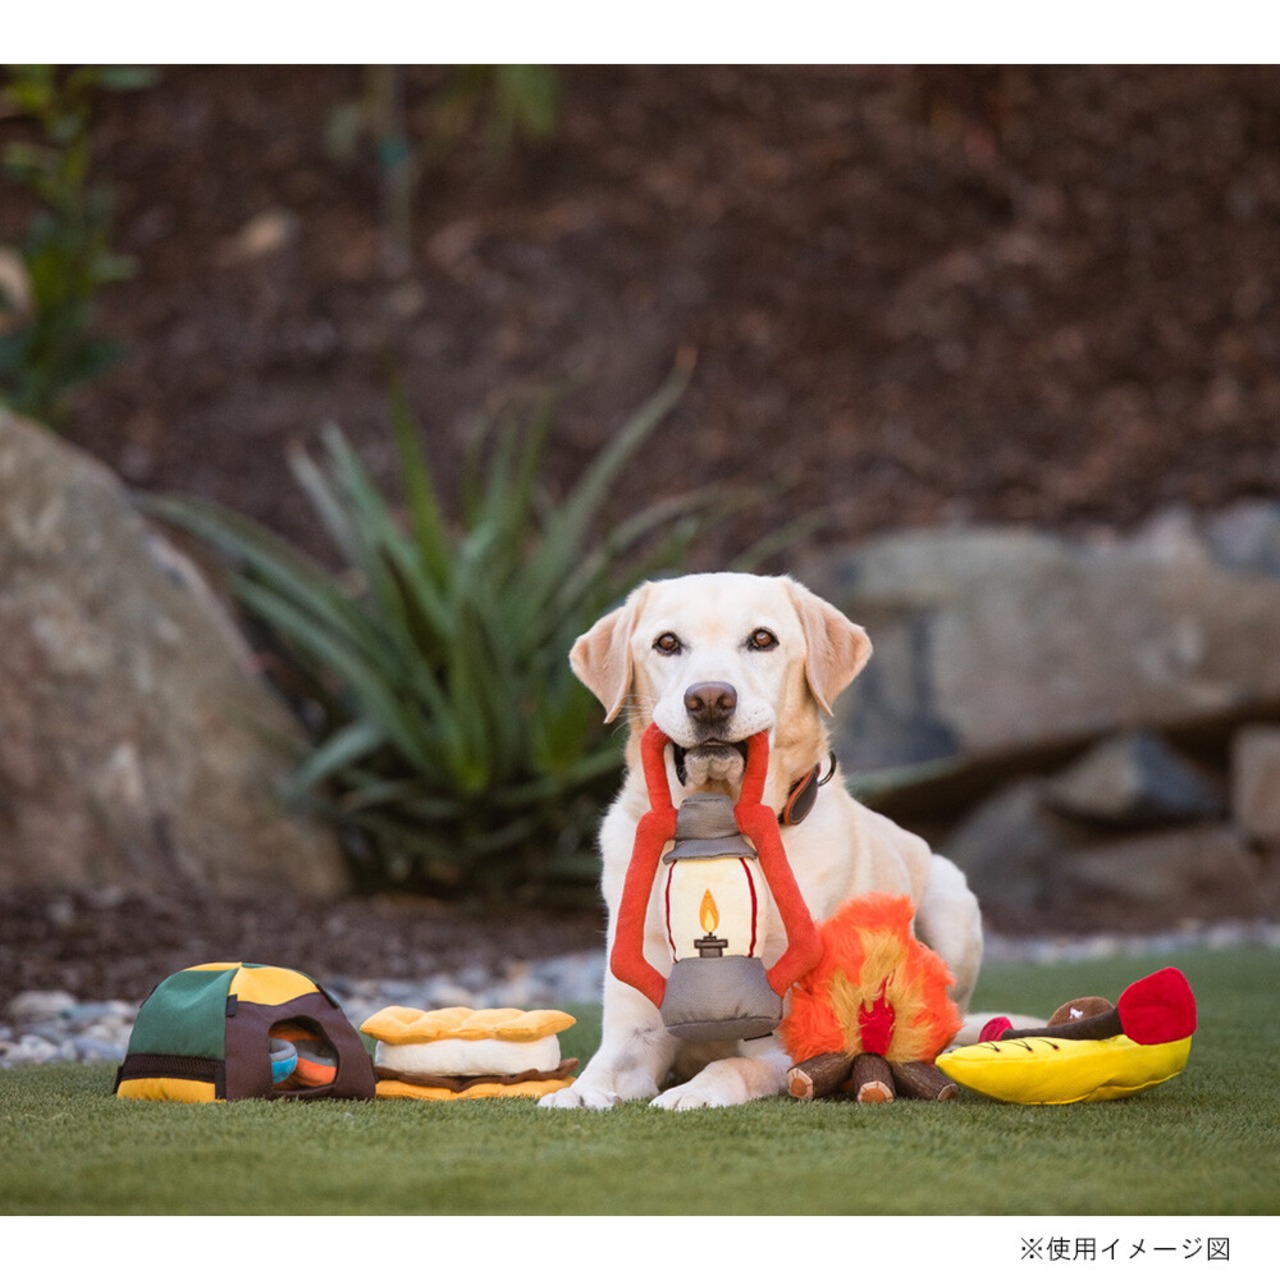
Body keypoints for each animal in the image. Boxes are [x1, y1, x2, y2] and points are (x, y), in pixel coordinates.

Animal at [540, 578, 977, 1111]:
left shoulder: (785, 1046)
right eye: (667, 643)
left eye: (762, 639)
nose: (709, 698)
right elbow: (604, 1066)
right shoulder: (636, 1030)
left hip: (952, 903)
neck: (715, 826)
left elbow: (733, 1065)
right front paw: (578, 1093)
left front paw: (693, 1092)